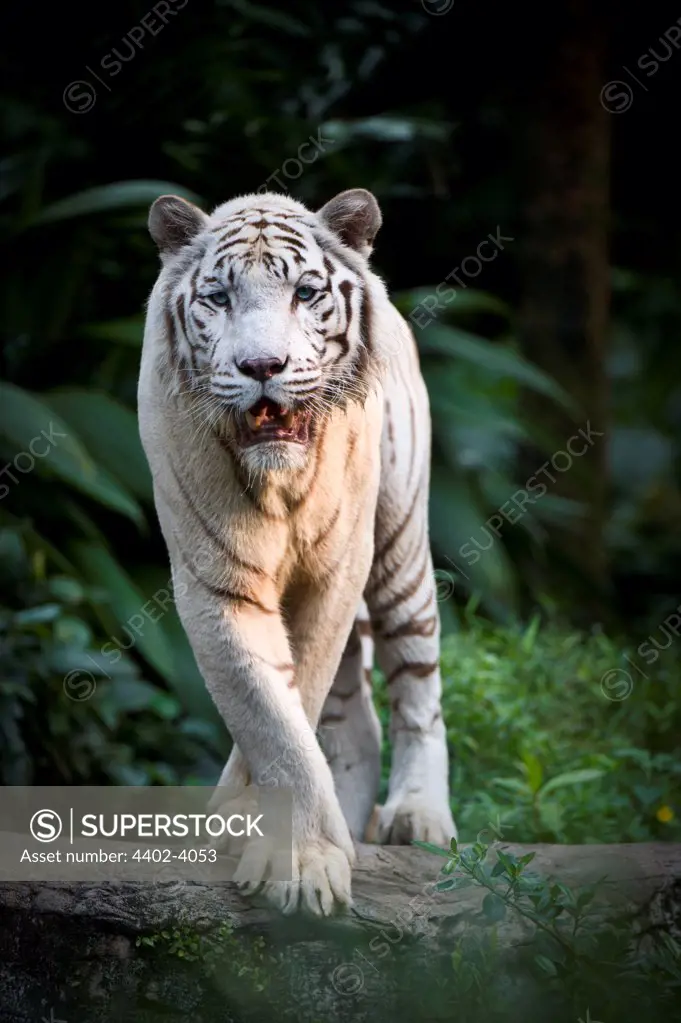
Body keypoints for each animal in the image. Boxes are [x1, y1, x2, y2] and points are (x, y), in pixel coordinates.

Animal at [137, 188, 456, 916]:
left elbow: (295, 700)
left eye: (305, 293)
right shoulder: (215, 582)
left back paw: (419, 817)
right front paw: (297, 852)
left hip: (399, 548)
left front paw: (293, 853)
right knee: (356, 723)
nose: (262, 368)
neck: (277, 481)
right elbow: (271, 717)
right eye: (219, 297)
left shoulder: (336, 572)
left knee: (417, 687)